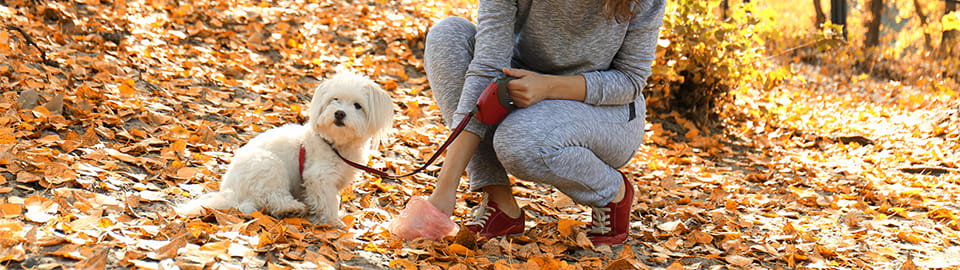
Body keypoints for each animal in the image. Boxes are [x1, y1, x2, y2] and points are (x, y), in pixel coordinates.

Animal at [174, 71, 392, 224]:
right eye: (334, 99)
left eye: (358, 106)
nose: (339, 113)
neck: (335, 144)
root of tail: (230, 190)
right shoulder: (318, 177)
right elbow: (328, 201)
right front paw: (333, 222)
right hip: (269, 165)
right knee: (270, 199)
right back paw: (292, 208)